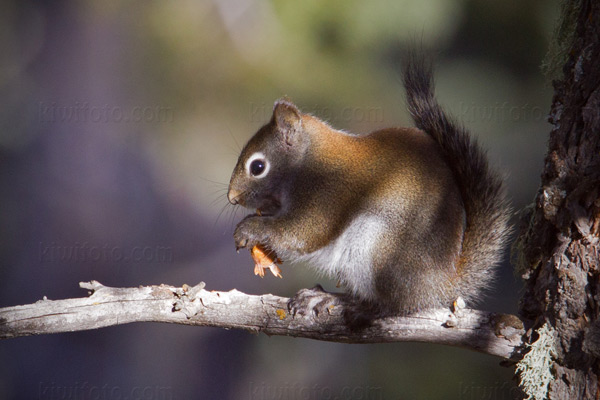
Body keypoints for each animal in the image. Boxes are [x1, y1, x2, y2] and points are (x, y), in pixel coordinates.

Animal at [227, 54, 508, 320]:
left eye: (258, 167)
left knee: (387, 304)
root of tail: (439, 286)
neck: (307, 163)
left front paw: (251, 227)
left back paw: (335, 300)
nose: (232, 198)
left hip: (376, 249)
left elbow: (303, 233)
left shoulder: (326, 194)